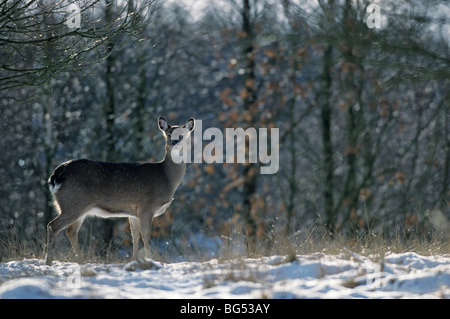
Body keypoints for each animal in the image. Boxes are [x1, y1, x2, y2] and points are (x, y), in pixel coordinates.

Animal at [44, 116, 194, 266]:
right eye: (168, 135)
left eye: (182, 135)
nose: (174, 143)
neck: (166, 177)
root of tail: (56, 175)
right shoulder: (146, 207)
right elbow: (146, 237)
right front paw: (150, 260)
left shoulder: (134, 212)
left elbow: (135, 237)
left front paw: (134, 260)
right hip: (73, 203)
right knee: (53, 226)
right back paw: (49, 262)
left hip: (77, 207)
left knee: (71, 231)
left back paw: (80, 261)